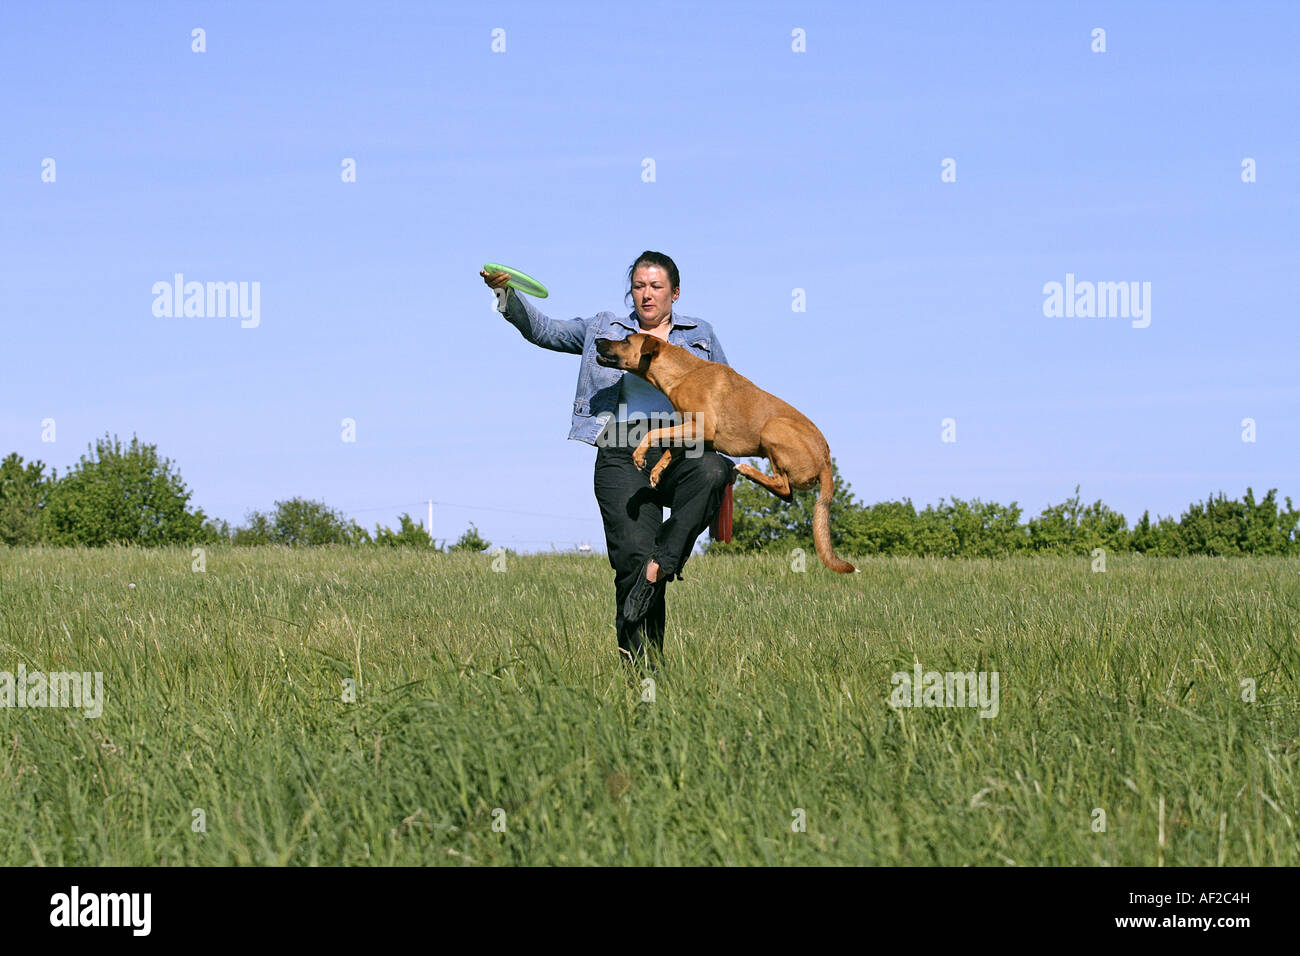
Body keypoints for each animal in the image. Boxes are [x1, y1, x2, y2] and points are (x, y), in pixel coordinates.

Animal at [595, 335, 857, 574]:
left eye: (626, 340)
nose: (598, 340)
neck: (681, 372)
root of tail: (825, 462)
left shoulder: (702, 428)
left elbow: (654, 432)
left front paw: (639, 456)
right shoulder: (691, 430)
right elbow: (670, 447)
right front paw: (657, 470)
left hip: (772, 427)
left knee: (784, 487)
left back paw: (747, 470)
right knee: (787, 494)